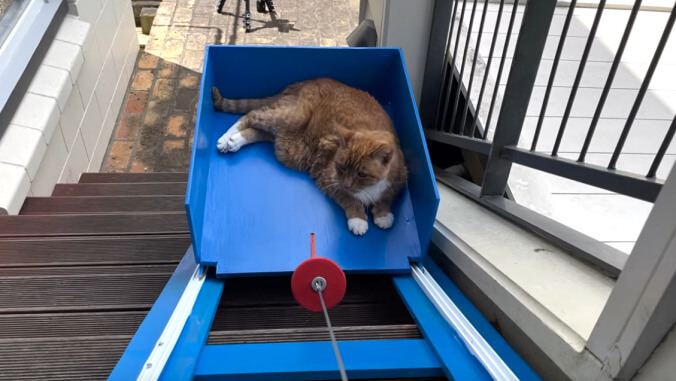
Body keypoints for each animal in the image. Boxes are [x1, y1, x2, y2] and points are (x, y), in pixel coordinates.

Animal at [211, 77, 406, 235]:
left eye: (362, 174)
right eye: (341, 167)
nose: (347, 184)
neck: (368, 188)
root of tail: (307, 81)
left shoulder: (399, 178)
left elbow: (387, 197)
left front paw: (383, 214)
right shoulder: (328, 177)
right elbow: (349, 199)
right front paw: (358, 220)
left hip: (284, 138)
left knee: (256, 131)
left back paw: (234, 141)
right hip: (289, 118)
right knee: (251, 115)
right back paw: (225, 138)